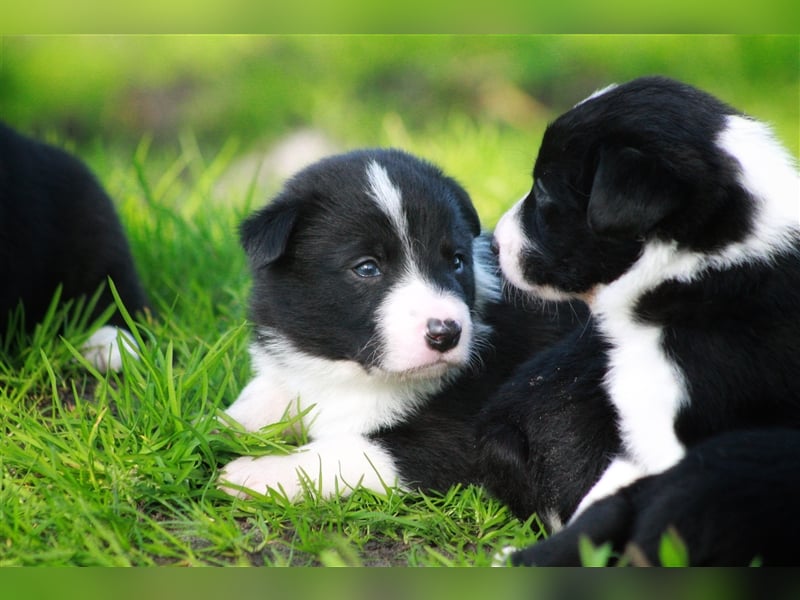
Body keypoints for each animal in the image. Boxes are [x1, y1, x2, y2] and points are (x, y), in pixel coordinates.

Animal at [217, 148, 580, 500]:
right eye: (366, 268)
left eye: (457, 261)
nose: (446, 333)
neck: (347, 371)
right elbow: (258, 398)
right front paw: (215, 426)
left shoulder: (457, 438)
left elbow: (349, 450)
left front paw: (255, 474)